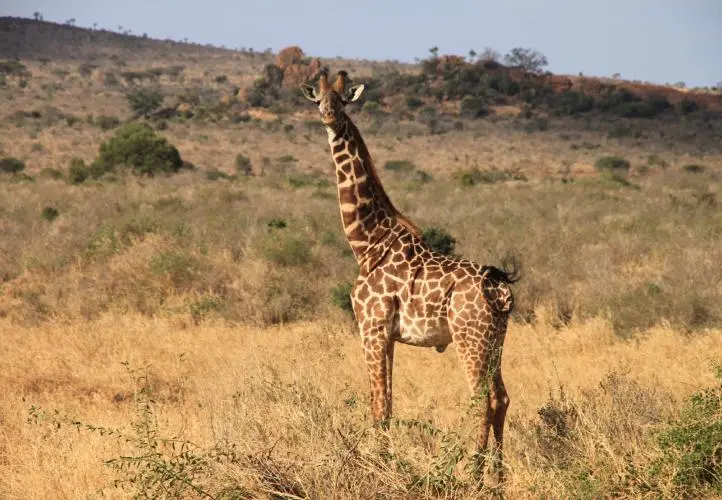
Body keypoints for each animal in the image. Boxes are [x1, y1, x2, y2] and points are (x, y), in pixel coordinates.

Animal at [300, 70, 516, 480]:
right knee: (502, 397)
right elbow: (387, 402)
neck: (368, 242)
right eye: (318, 99)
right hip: (496, 341)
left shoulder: (371, 327)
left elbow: (378, 403)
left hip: (470, 339)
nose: (328, 118)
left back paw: (475, 475)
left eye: (343, 101)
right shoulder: (389, 335)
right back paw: (497, 477)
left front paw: (379, 467)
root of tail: (500, 289)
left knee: (482, 399)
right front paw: (384, 461)